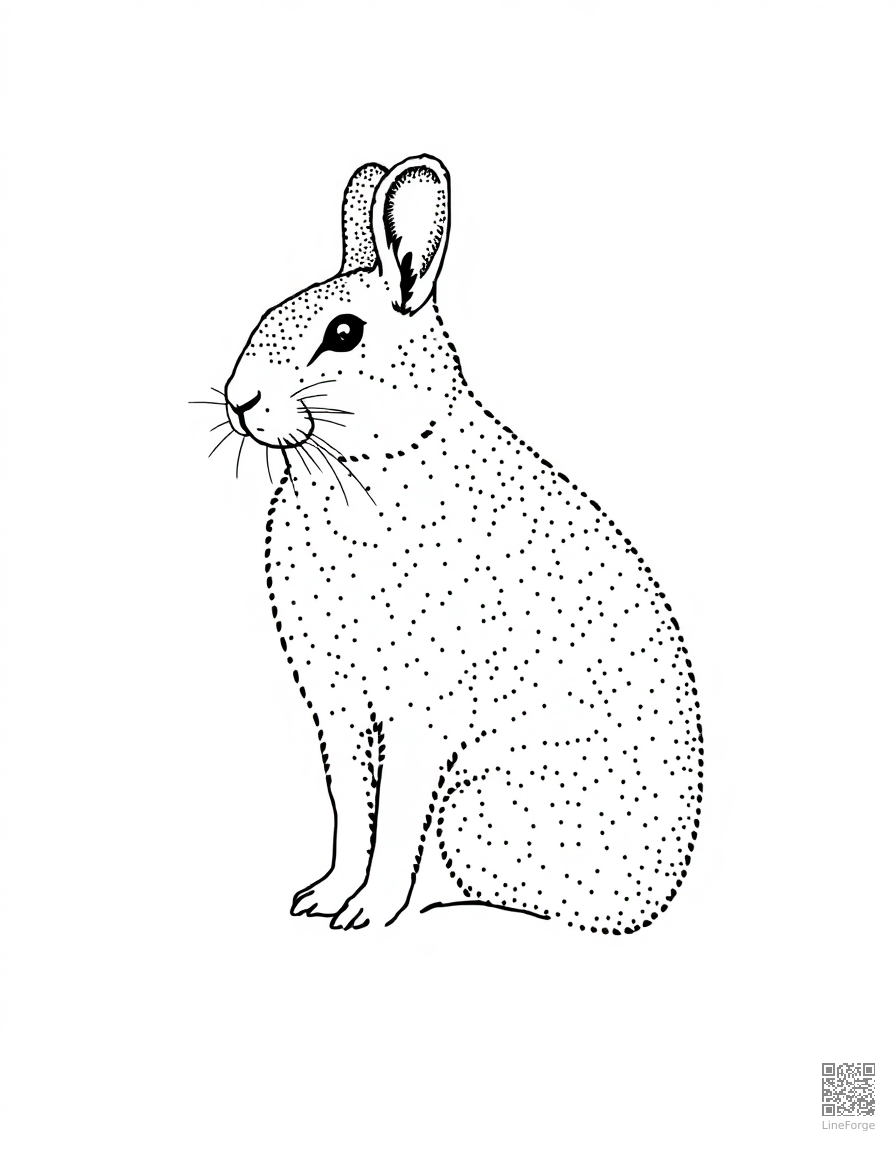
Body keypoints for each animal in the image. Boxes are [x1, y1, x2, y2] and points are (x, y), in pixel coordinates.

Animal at [218, 155, 704, 932]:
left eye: (344, 334)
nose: (239, 399)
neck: (372, 461)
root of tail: (651, 903)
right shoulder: (337, 705)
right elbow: (350, 807)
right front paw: (322, 898)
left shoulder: (421, 713)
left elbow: (393, 820)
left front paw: (363, 912)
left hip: (482, 809)